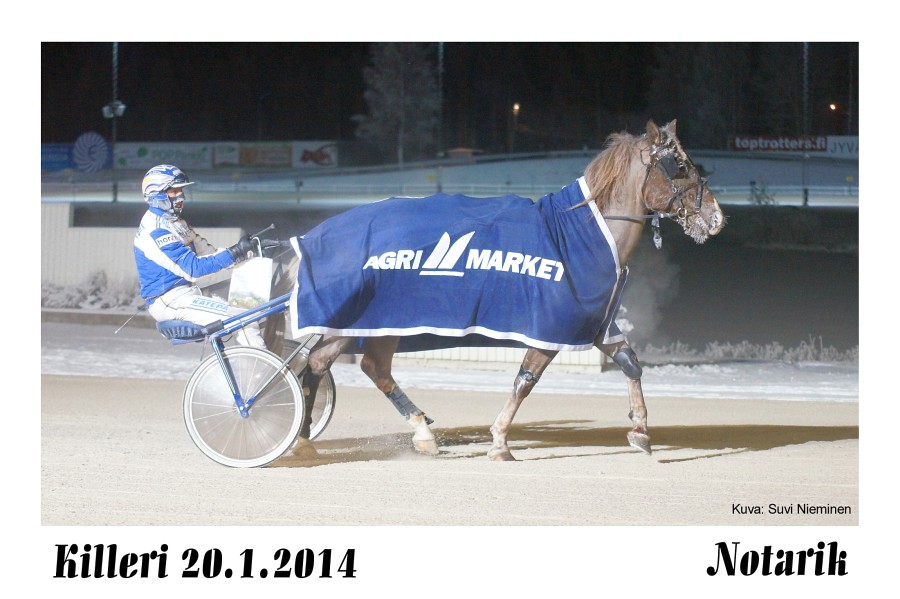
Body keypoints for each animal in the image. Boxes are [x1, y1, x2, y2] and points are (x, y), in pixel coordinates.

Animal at [265, 119, 725, 461]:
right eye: (680, 165)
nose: (718, 218)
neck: (582, 233)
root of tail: (314, 237)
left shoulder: (594, 323)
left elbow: (630, 363)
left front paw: (641, 430)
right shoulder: (552, 326)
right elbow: (525, 381)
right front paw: (501, 440)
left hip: (375, 325)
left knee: (350, 367)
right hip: (358, 320)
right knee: (331, 365)